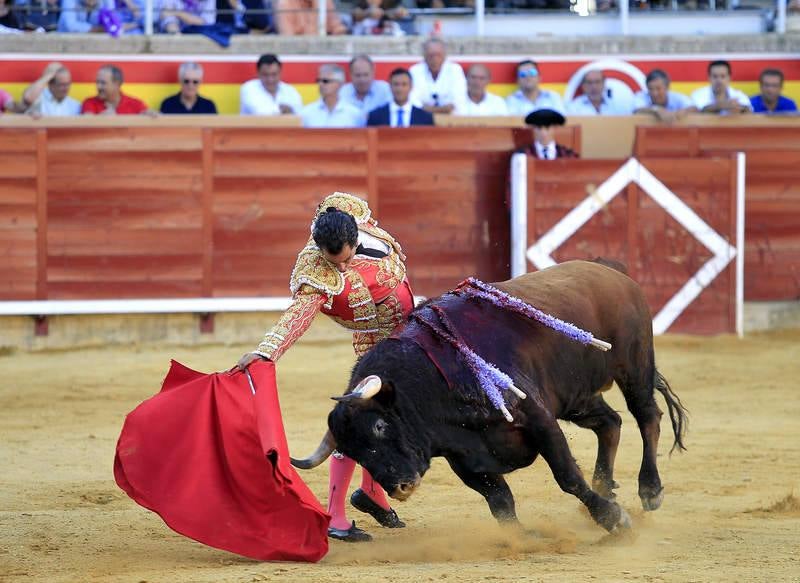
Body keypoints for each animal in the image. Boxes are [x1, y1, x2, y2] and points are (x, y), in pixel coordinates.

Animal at [292, 260, 688, 532]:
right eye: (354, 452)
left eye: (378, 426)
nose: (400, 487)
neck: (432, 380)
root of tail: (613, 273)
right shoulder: (464, 457)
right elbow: (500, 501)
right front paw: (521, 538)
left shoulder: (539, 419)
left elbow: (566, 476)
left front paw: (612, 519)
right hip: (576, 396)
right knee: (610, 423)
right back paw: (604, 485)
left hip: (634, 365)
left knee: (646, 417)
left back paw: (649, 490)